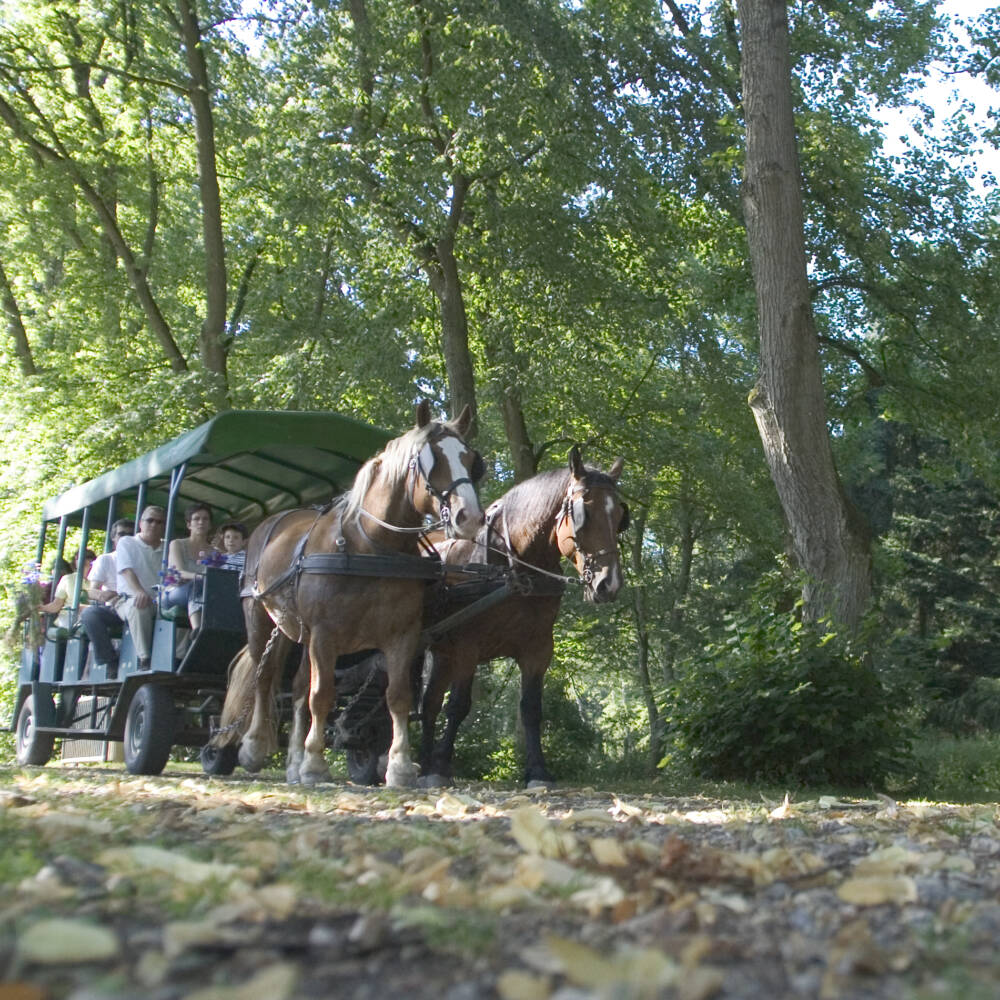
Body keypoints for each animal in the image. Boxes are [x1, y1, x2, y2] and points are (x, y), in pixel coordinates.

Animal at [213, 402, 486, 784]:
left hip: (298, 633)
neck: (369, 546)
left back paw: (293, 762)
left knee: (297, 688)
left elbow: (397, 696)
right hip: (261, 619)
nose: (470, 517)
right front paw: (315, 763)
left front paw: (399, 766)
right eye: (428, 460)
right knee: (264, 678)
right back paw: (255, 748)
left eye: (471, 459)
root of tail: (270, 522)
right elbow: (322, 695)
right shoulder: (325, 635)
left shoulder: (403, 635)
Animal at [420, 448, 624, 788]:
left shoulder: (537, 650)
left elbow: (531, 709)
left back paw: (420, 765)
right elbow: (459, 706)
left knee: (428, 704)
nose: (609, 584)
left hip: (442, 653)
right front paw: (440, 765)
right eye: (584, 513)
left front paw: (538, 771)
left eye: (620, 516)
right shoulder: (467, 647)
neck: (513, 567)